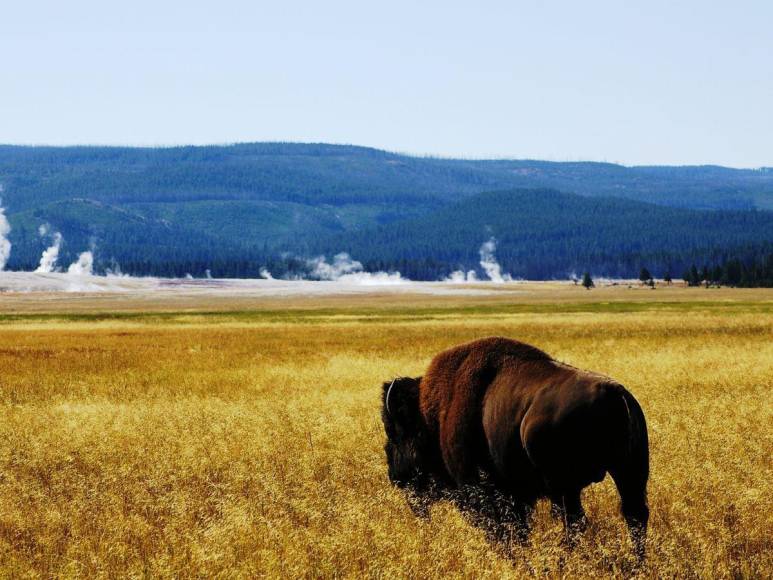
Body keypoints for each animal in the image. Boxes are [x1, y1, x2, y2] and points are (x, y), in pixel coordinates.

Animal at [382, 338, 648, 560]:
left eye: (395, 434)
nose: (395, 477)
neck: (432, 416)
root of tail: (615, 394)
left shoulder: (479, 490)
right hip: (629, 473)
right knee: (634, 515)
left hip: (565, 486)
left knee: (576, 522)